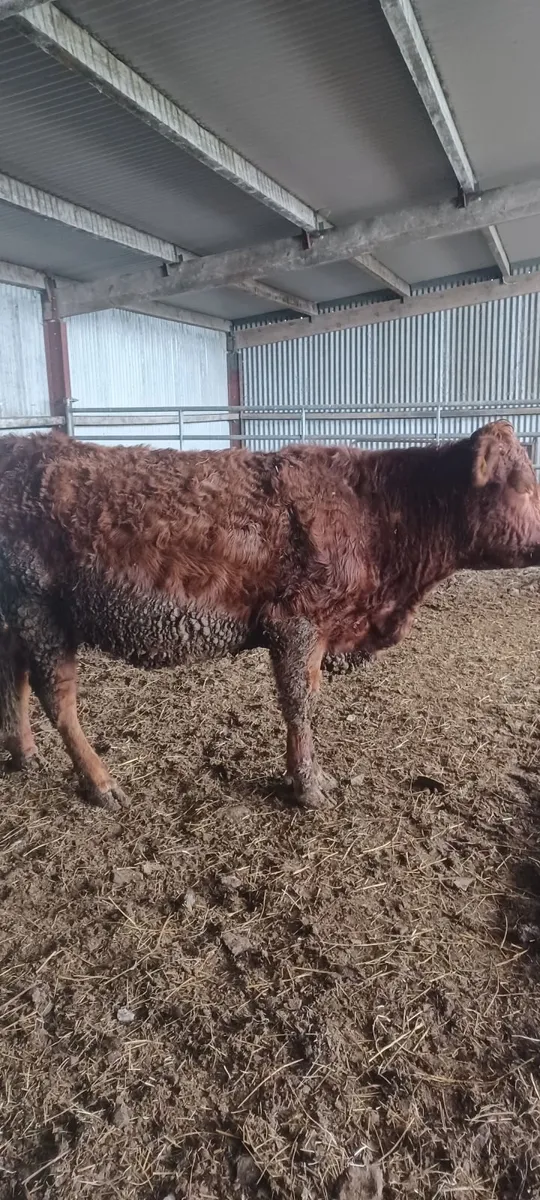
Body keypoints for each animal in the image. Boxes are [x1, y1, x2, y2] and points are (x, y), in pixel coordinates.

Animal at [0, 421, 539, 813]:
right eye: (522, 485)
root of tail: (22, 445)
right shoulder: (296, 623)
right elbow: (300, 704)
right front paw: (308, 786)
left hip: (22, 613)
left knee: (14, 671)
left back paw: (24, 751)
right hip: (39, 608)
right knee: (56, 696)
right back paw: (100, 783)